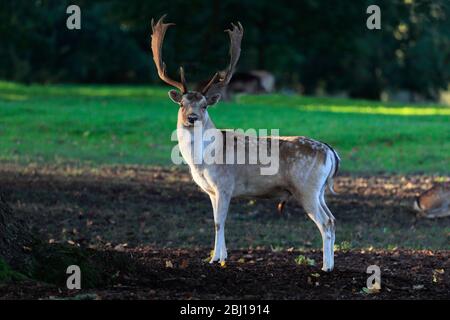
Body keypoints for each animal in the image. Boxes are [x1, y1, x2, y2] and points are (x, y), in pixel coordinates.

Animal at [149, 16, 340, 272]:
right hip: (319, 190)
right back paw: (330, 263)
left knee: (326, 222)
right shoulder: (211, 191)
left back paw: (326, 267)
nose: (192, 118)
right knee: (333, 219)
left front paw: (215, 259)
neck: (202, 160)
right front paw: (222, 256)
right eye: (182, 104)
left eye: (205, 105)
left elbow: (219, 222)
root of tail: (329, 151)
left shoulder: (225, 184)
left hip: (306, 188)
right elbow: (217, 221)